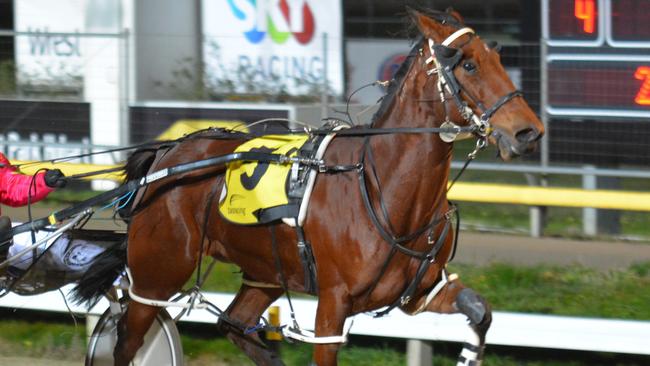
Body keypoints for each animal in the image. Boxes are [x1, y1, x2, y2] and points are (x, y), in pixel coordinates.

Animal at [74, 8, 540, 366]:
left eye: (498, 57)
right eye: (468, 64)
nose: (528, 132)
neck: (382, 189)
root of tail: (168, 153)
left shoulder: (421, 292)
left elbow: (479, 312)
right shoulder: (333, 306)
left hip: (264, 272)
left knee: (232, 322)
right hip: (157, 274)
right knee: (128, 343)